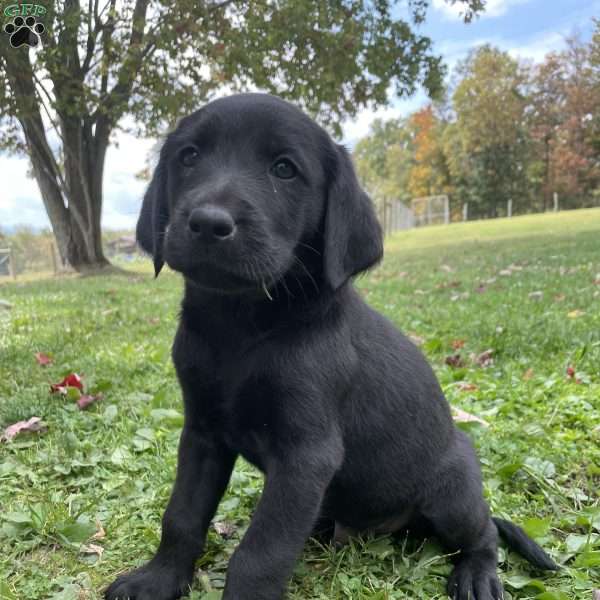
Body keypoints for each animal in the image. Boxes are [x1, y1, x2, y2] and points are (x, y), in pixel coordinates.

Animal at [105, 94, 556, 600]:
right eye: (189, 157)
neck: (241, 327)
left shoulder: (306, 455)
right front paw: (158, 579)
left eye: (284, 169)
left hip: (453, 493)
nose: (207, 223)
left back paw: (477, 573)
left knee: (483, 532)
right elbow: (181, 516)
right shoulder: (202, 433)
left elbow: (261, 553)